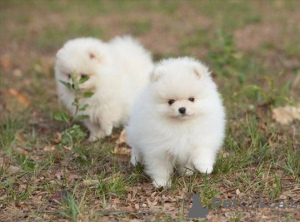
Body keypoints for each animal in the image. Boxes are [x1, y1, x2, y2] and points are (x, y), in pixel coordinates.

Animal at [125, 57, 226, 187]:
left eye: (191, 99)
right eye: (171, 101)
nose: (182, 109)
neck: (181, 125)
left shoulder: (202, 136)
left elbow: (202, 150)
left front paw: (204, 167)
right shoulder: (158, 149)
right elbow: (160, 167)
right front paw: (161, 182)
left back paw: (187, 171)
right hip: (135, 133)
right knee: (136, 148)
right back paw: (136, 160)